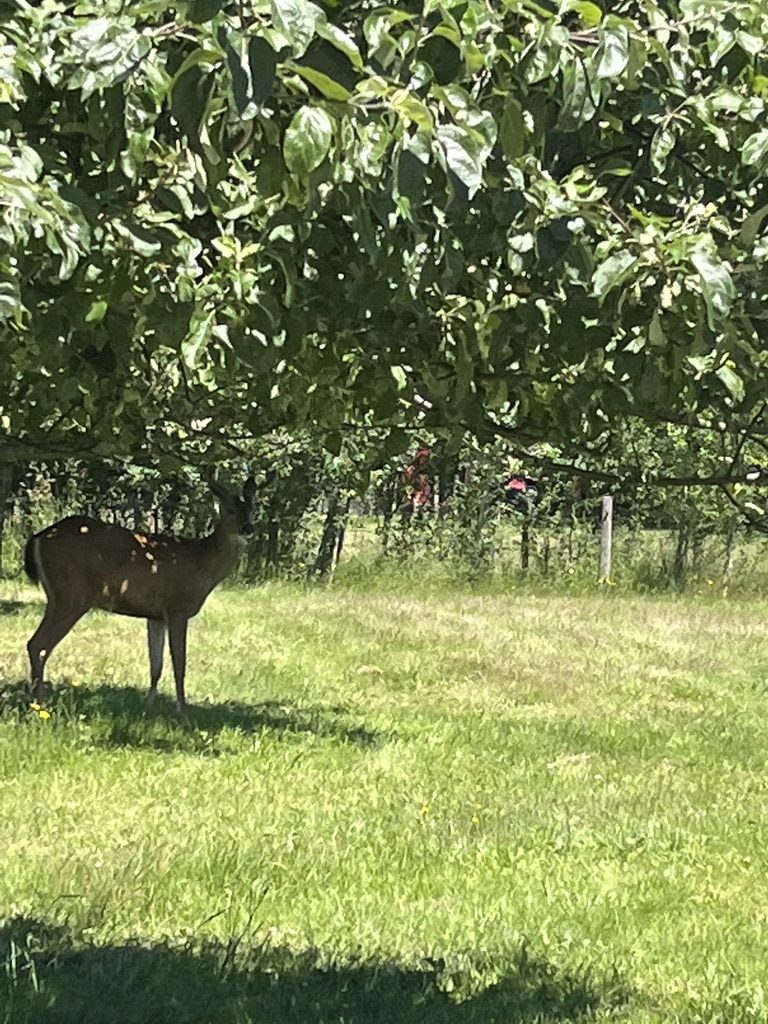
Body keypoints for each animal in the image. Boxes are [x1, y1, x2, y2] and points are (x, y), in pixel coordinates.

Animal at [23, 472, 256, 712]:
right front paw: (182, 710)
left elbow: (156, 665)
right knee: (39, 644)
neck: (202, 563)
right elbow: (179, 662)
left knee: (36, 644)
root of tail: (39, 537)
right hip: (72, 594)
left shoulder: (155, 615)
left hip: (56, 596)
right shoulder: (177, 608)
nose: (248, 528)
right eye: (230, 510)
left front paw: (148, 706)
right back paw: (38, 704)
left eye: (253, 509)